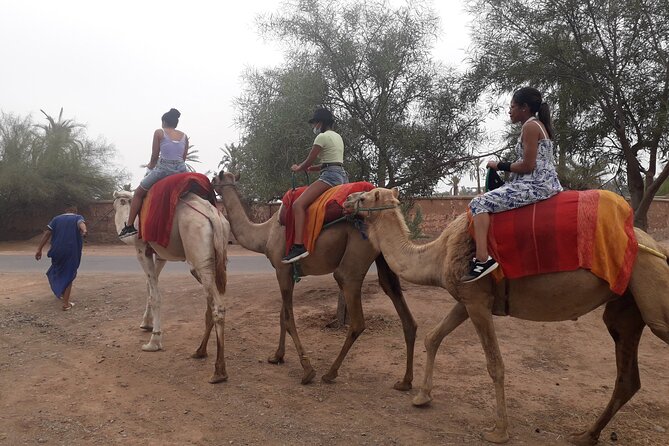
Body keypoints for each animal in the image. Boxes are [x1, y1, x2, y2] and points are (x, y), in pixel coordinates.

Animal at [112, 189, 231, 383]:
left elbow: (155, 295)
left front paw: (154, 342)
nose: (123, 229)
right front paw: (146, 324)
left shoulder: (142, 249)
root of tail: (214, 216)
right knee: (211, 299)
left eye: (118, 203)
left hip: (199, 252)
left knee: (217, 305)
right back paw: (200, 351)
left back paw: (219, 371)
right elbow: (149, 286)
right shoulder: (160, 254)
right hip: (216, 256)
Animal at [211, 171, 417, 389]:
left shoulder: (282, 269)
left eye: (216, 178)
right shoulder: (289, 273)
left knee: (355, 314)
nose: (210, 184)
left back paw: (330, 373)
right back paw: (405, 381)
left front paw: (307, 370)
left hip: (355, 256)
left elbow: (288, 319)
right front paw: (277, 356)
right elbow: (282, 315)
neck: (265, 234)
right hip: (383, 256)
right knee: (396, 298)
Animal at [344, 187, 669, 445]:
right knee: (627, 378)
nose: (345, 200)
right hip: (627, 308)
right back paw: (585, 435)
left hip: (651, 288)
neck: (438, 254)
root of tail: (655, 246)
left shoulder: (476, 301)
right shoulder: (467, 299)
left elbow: (495, 365)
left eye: (363, 197)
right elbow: (433, 337)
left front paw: (499, 431)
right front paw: (421, 396)